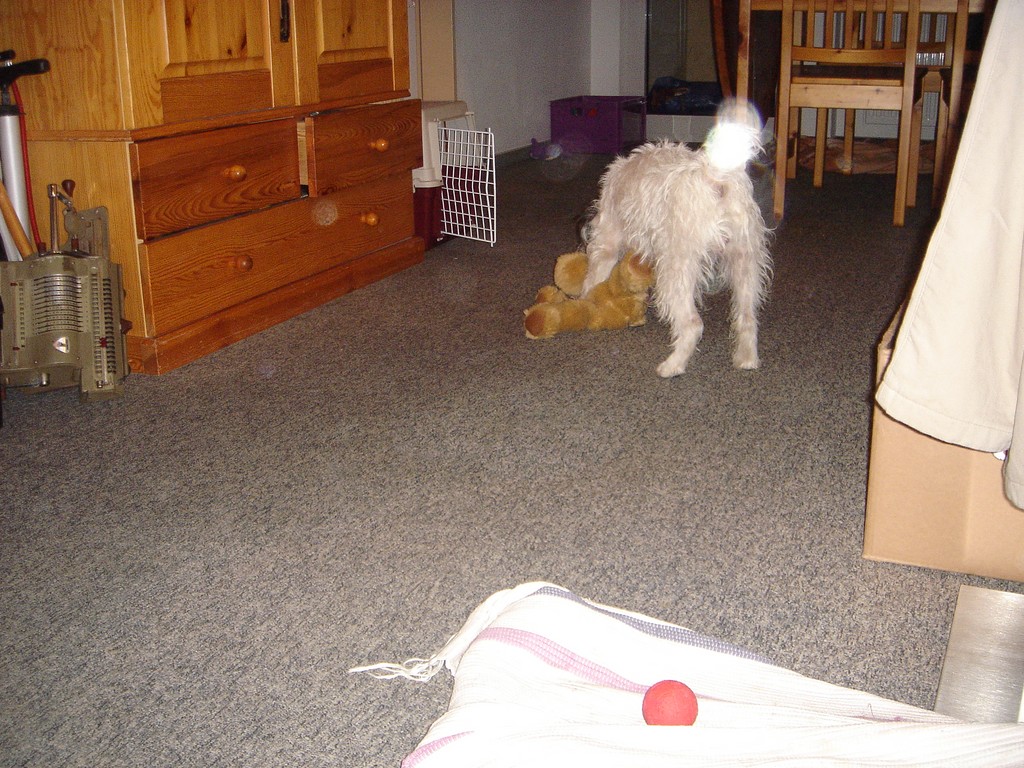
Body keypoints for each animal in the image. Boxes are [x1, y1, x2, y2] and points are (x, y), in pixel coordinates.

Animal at [579, 110, 772, 378]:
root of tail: (718, 184)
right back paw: (747, 359)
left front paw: (584, 304)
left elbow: (592, 279)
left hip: (677, 269)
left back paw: (672, 366)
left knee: (692, 324)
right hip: (745, 263)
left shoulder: (607, 242)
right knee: (747, 318)